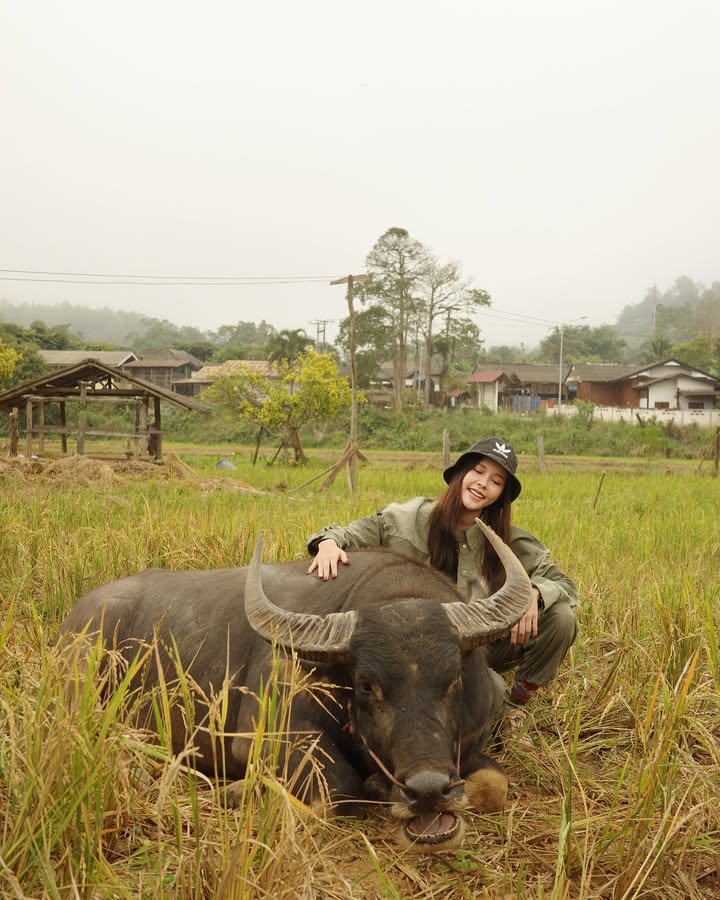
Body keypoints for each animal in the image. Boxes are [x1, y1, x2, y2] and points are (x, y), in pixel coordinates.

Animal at [57, 520, 528, 852]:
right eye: (366, 686)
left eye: (453, 679)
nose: (427, 791)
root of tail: (80, 613)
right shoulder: (267, 737)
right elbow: (336, 792)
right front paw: (238, 792)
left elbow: (495, 785)